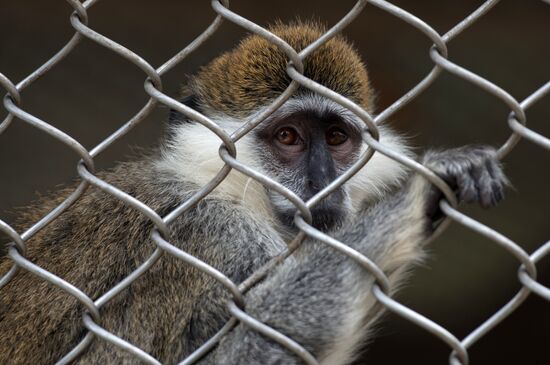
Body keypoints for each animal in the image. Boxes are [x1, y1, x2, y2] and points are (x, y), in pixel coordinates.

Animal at [0, 22, 508, 364]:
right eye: (287, 137)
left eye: (337, 138)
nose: (324, 180)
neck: (225, 192)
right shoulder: (215, 240)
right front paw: (418, 193)